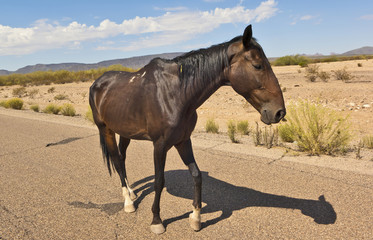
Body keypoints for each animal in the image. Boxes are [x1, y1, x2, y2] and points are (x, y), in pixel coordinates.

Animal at [89, 24, 284, 234]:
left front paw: (196, 217)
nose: (279, 112)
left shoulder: (183, 141)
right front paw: (156, 220)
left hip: (126, 132)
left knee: (122, 158)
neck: (177, 93)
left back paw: (132, 193)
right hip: (106, 129)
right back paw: (128, 202)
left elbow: (197, 175)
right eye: (257, 65)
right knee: (117, 161)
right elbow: (159, 181)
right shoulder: (160, 145)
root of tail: (97, 83)